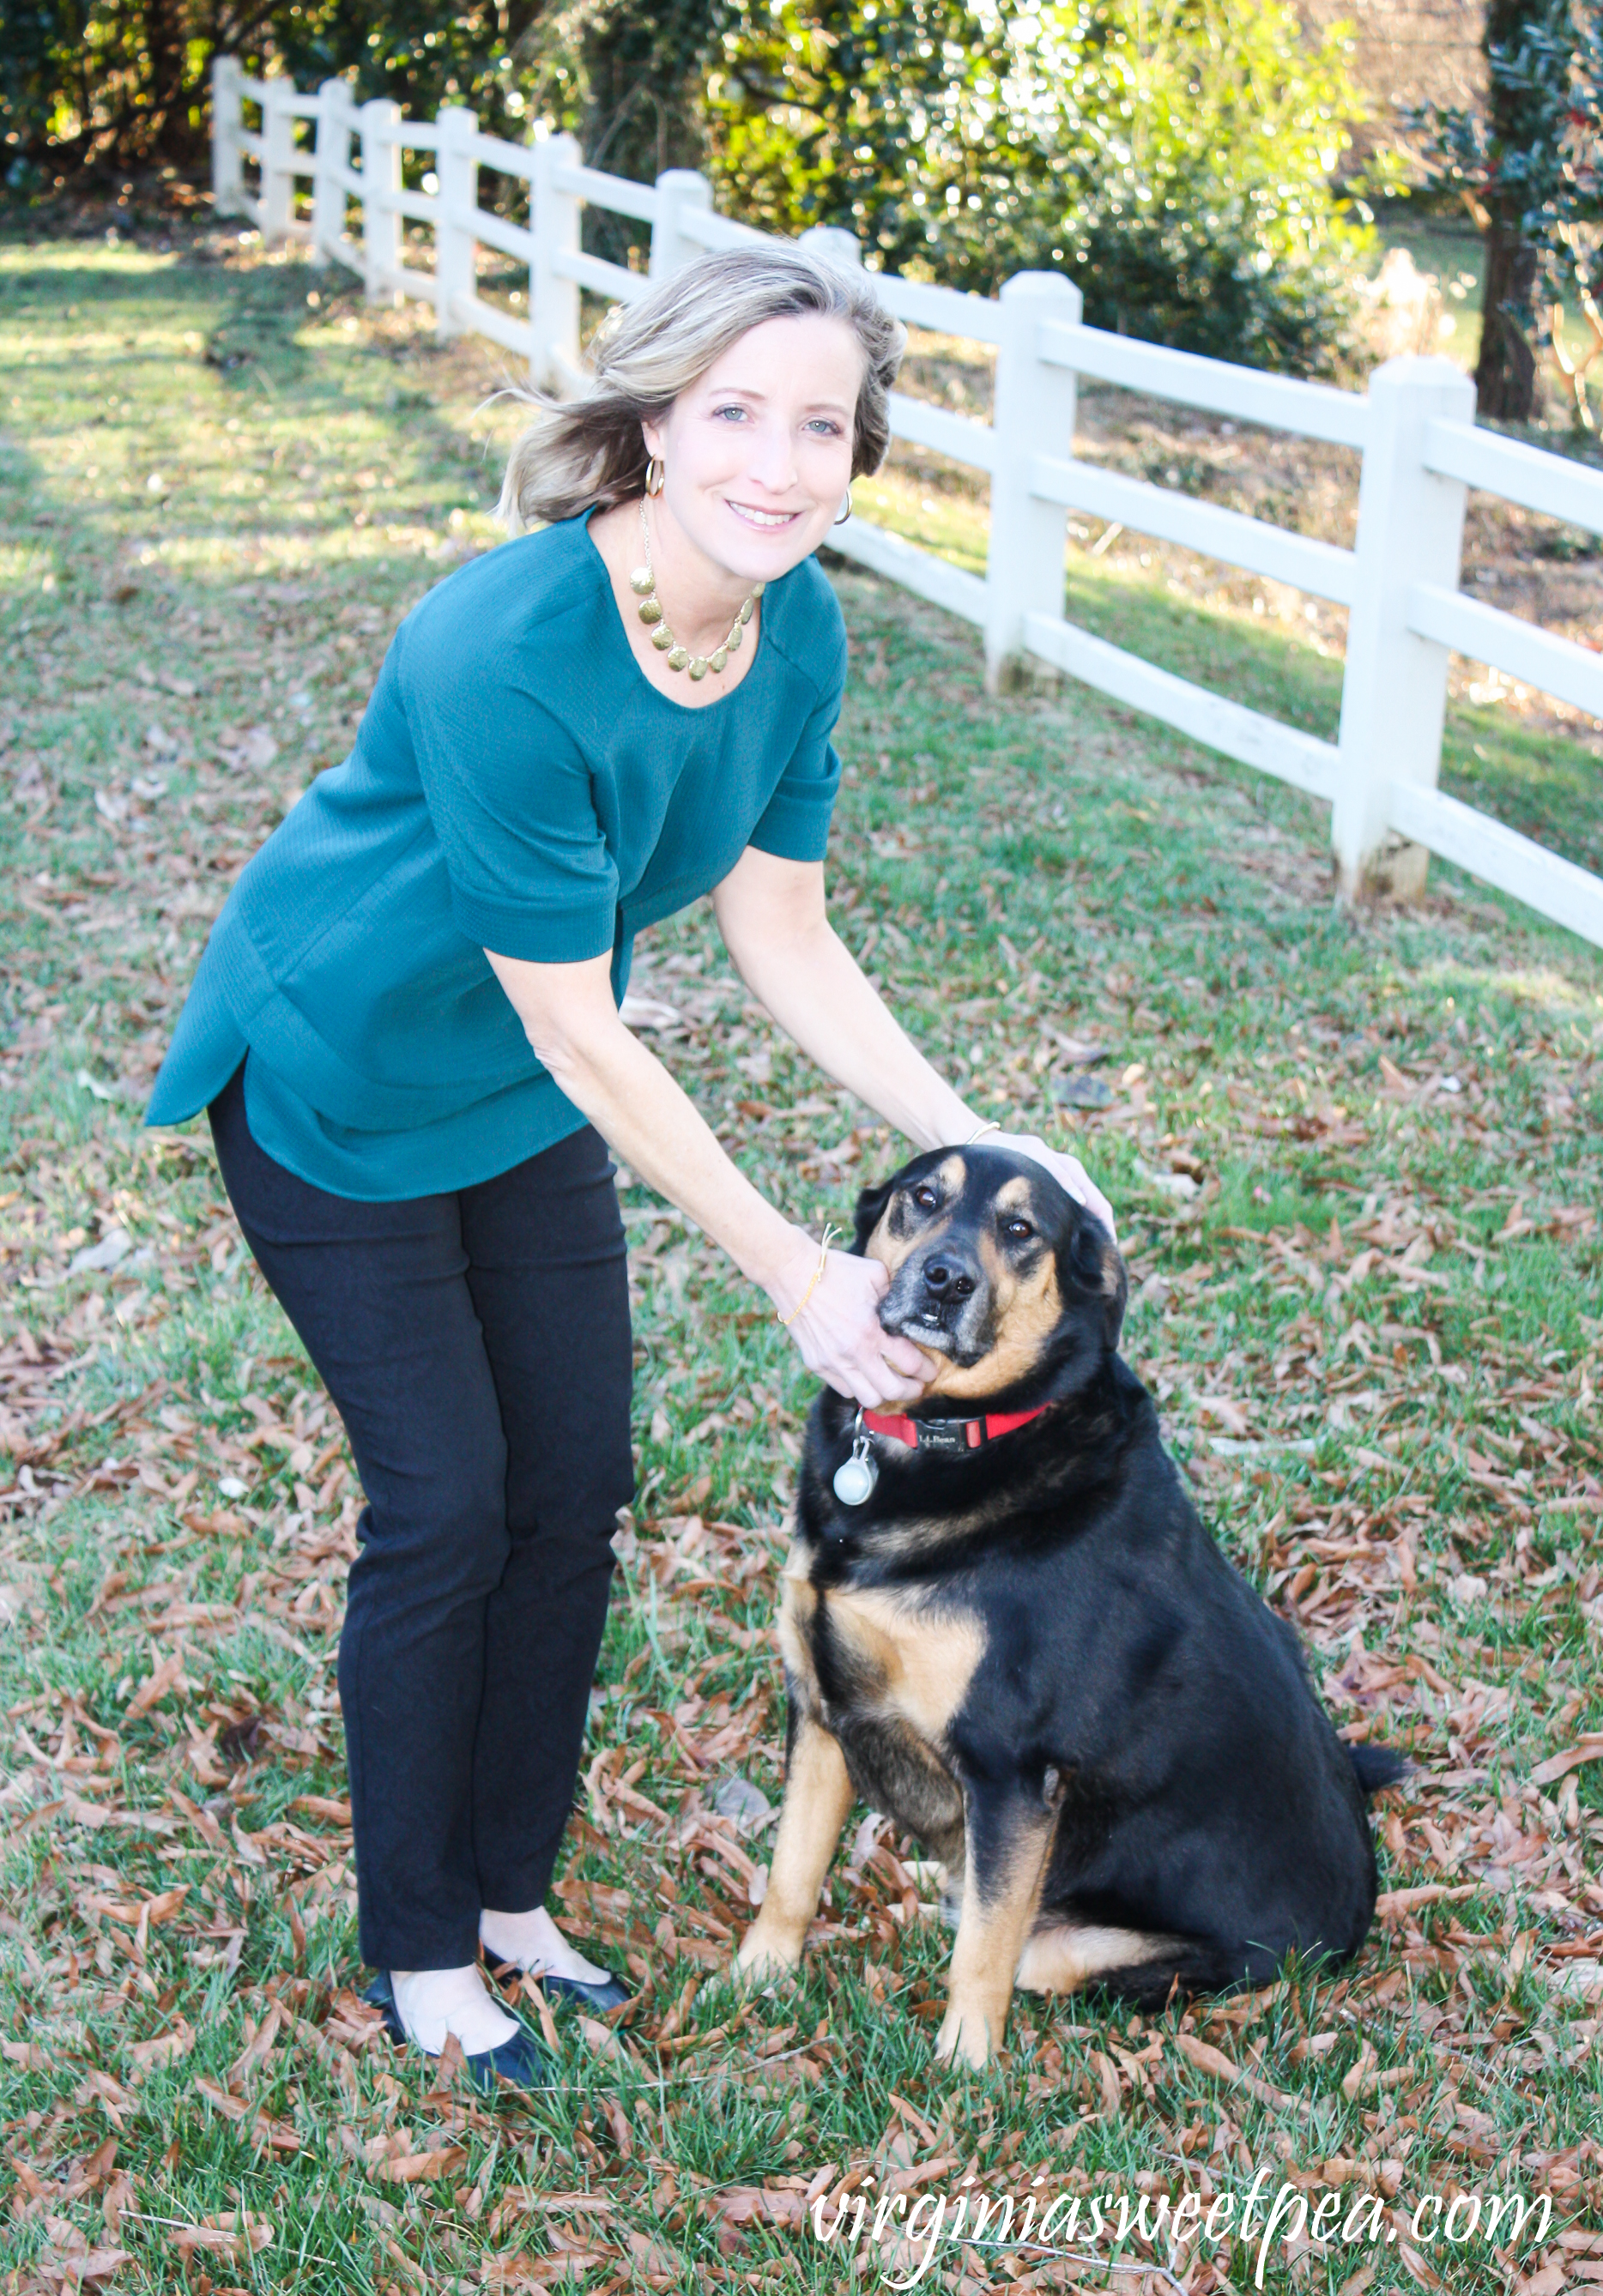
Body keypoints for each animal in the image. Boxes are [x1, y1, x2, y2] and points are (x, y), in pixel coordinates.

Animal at [735, 1148, 1396, 2066]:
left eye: (1020, 1229)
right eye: (922, 1197)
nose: (945, 1279)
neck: (958, 1431)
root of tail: (1354, 1928)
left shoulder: (1011, 1769)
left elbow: (981, 1949)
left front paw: (965, 2064)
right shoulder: (823, 1707)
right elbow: (792, 1871)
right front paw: (754, 1980)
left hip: (1088, 1941)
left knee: (1011, 1934)